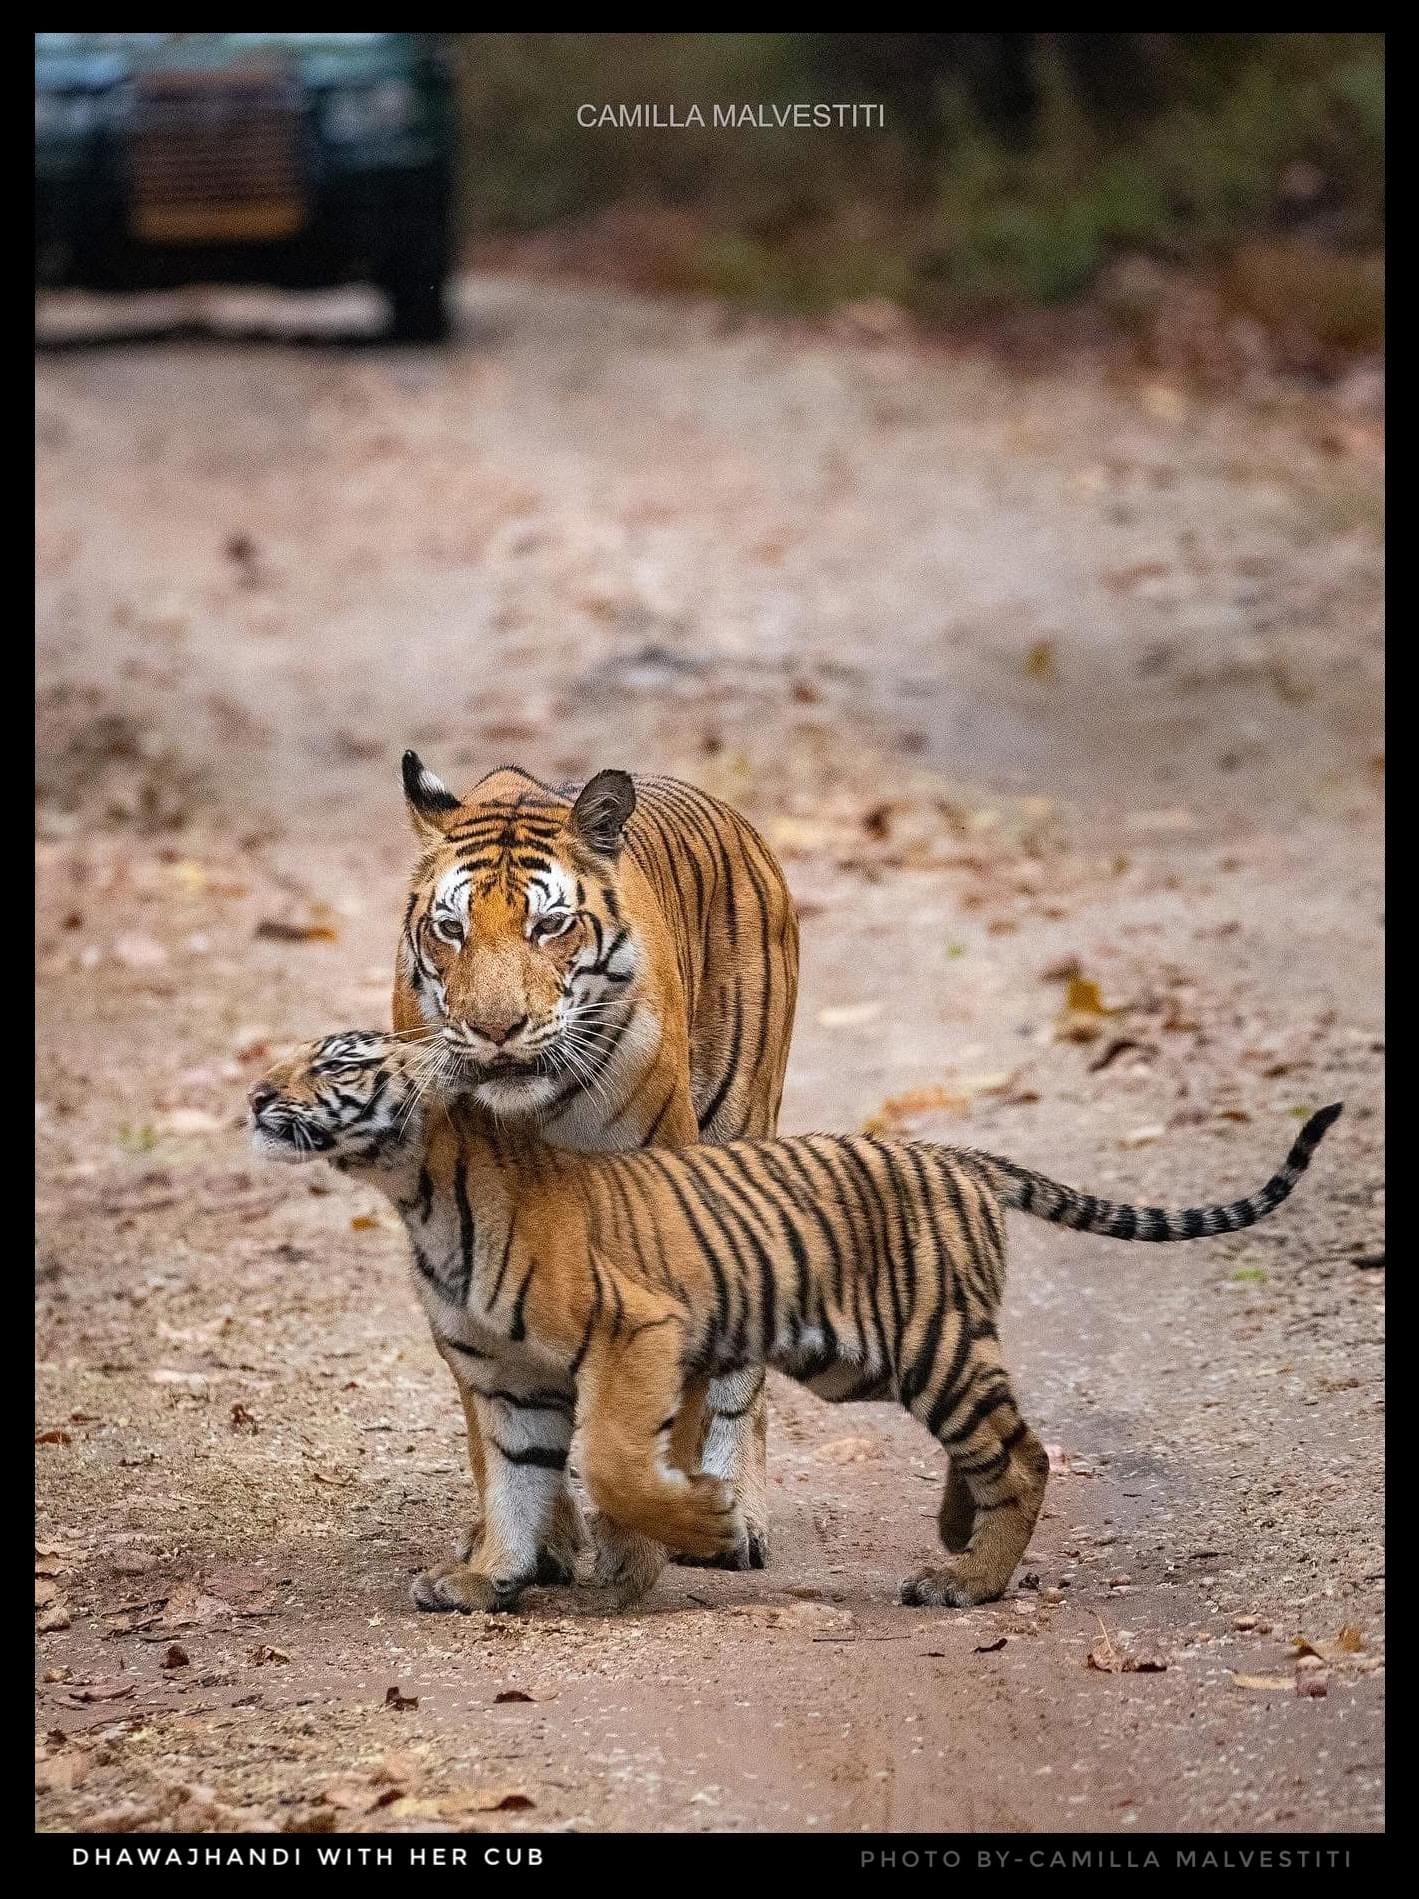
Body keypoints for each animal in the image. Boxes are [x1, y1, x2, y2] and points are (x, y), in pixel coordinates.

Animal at [249, 1029, 1342, 1614]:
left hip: (926, 1344)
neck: (419, 1196)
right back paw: (956, 1533)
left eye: (337, 1061)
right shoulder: (508, 1380)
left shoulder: (635, 1329)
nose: (258, 1094)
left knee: (1024, 1455)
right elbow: (518, 1489)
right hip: (867, 1357)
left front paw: (704, 1525)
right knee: (992, 1447)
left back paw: (969, 1582)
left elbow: (611, 1461)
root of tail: (960, 1156)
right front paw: (486, 1581)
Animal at [392, 754, 799, 1576]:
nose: (496, 1029)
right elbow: (500, 1416)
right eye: (450, 928)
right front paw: (533, 1542)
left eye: (549, 924)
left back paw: (737, 1511)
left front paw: (635, 1546)